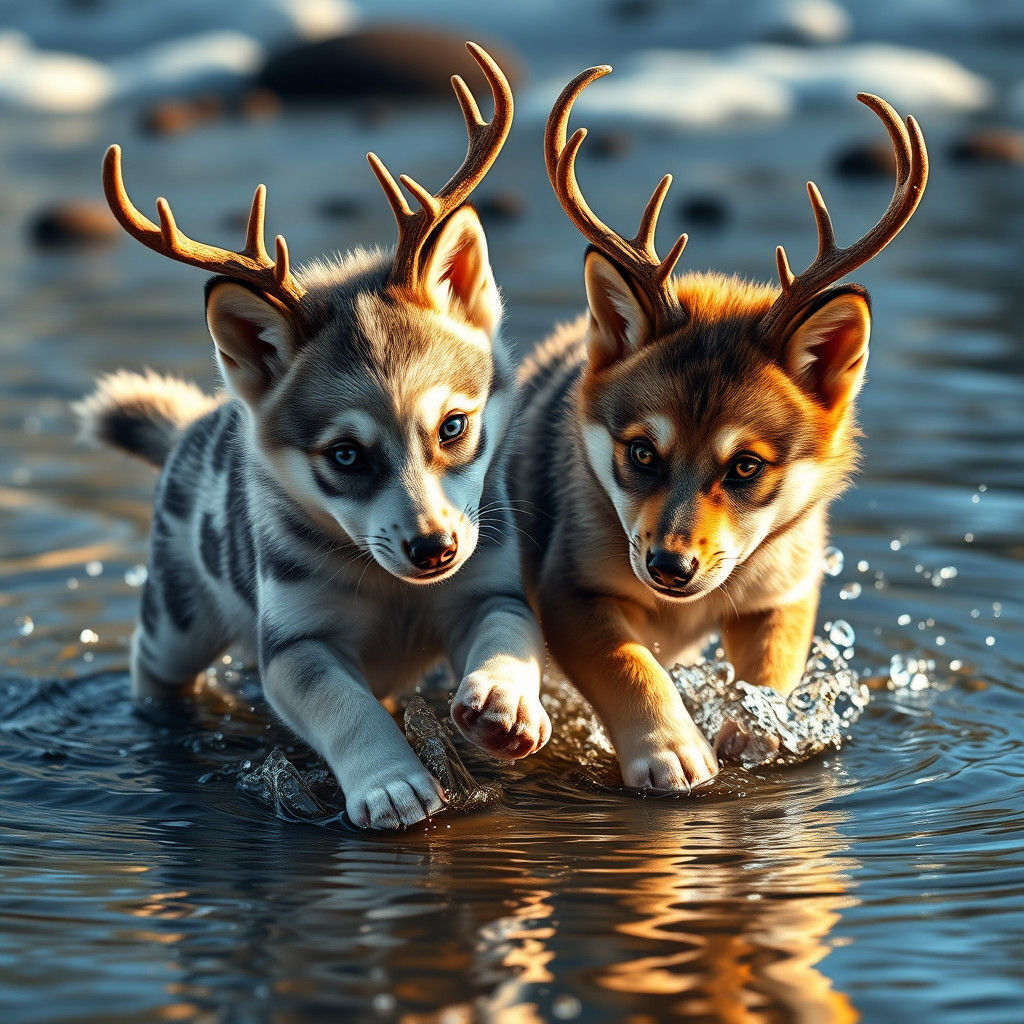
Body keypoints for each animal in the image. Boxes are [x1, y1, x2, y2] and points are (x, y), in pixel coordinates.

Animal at [75, 44, 550, 830]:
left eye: (453, 425)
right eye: (346, 455)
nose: (434, 549)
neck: (394, 592)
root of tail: (193, 426)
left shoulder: (492, 584)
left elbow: (506, 635)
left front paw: (504, 701)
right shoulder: (296, 645)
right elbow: (344, 707)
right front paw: (390, 782)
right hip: (175, 619)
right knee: (152, 666)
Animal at [513, 66, 927, 791]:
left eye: (746, 465)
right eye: (641, 451)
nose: (669, 565)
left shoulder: (784, 589)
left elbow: (771, 669)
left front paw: (751, 732)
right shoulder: (568, 585)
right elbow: (628, 664)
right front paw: (672, 753)